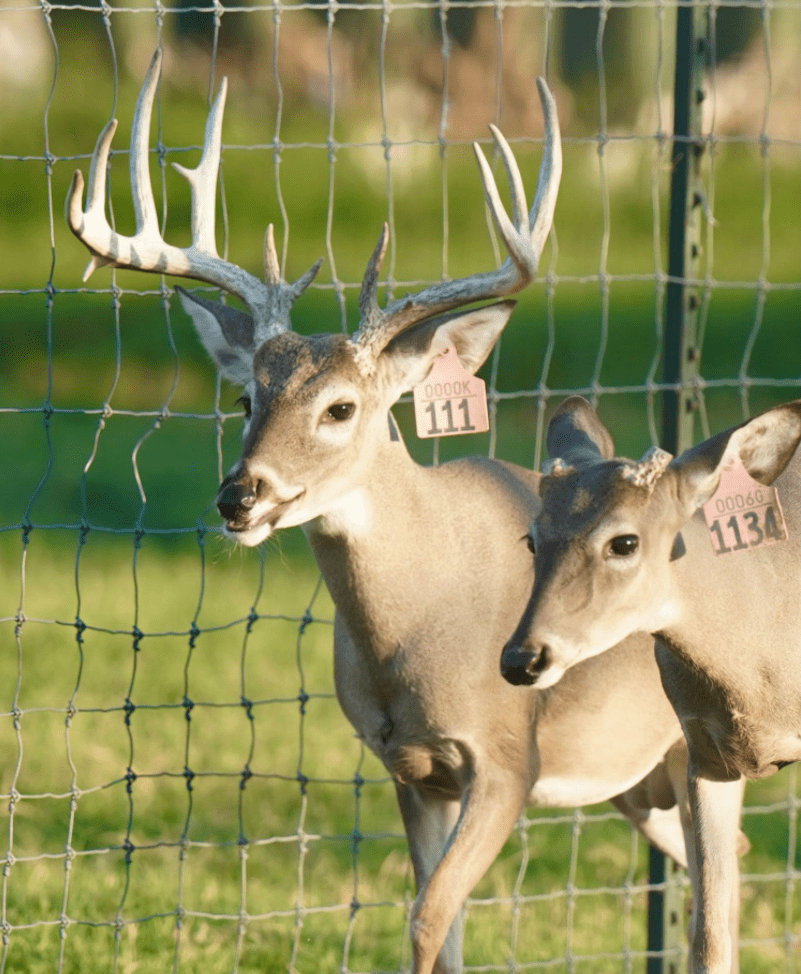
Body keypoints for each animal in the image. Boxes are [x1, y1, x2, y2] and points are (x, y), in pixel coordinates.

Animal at [67, 49, 743, 974]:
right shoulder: (409, 767)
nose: (239, 496)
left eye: (341, 408)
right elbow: (440, 924)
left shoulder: (506, 754)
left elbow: (426, 918)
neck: (417, 623)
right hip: (647, 779)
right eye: (245, 397)